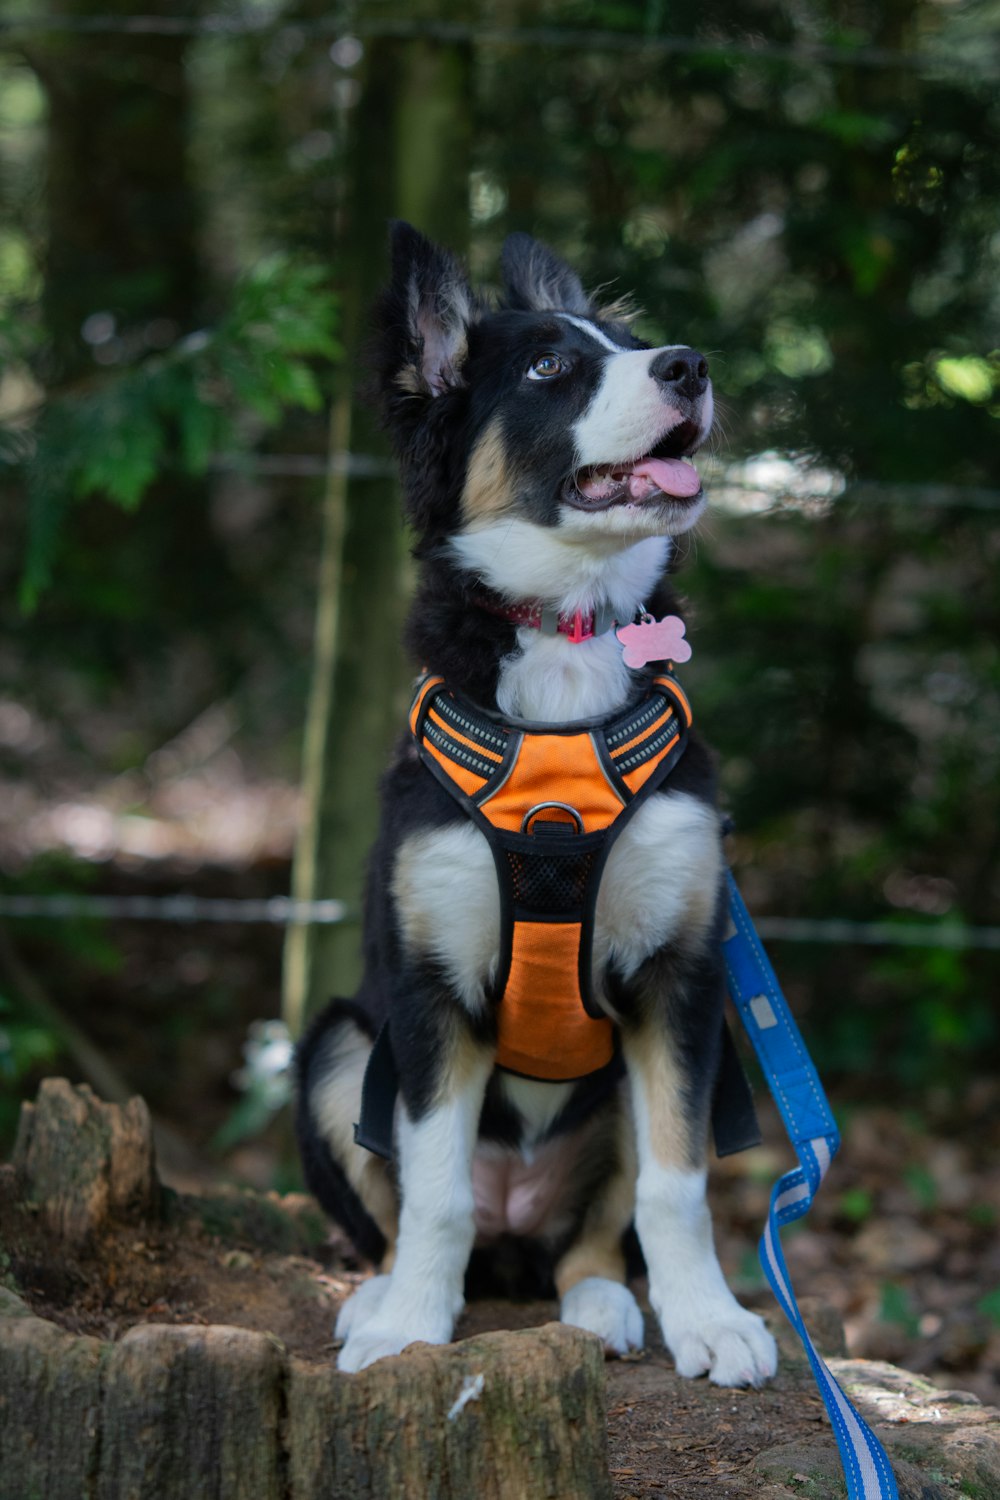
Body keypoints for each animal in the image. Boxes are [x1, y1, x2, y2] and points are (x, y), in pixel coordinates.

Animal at [293, 222, 779, 1380]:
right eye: (551, 367)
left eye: (634, 346)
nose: (689, 366)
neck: (567, 632)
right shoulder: (427, 989)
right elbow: (431, 1193)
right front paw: (410, 1328)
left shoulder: (680, 977)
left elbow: (676, 1187)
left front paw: (710, 1320)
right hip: (339, 1045)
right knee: (410, 1212)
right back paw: (376, 1298)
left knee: (592, 1237)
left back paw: (602, 1304)